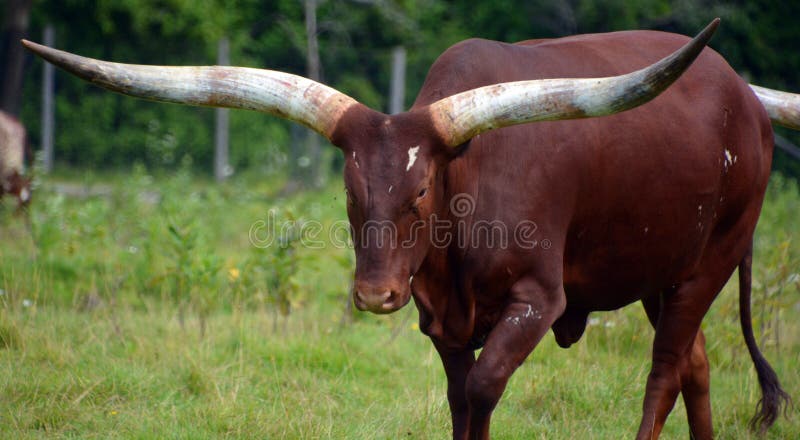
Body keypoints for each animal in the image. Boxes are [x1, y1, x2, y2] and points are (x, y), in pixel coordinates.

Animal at [23, 18, 792, 440]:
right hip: (661, 269)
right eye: (349, 187)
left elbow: (483, 388)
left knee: (664, 369)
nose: (374, 295)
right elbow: (459, 396)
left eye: (421, 189)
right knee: (694, 362)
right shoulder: (439, 317)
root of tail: (745, 98)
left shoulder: (539, 299)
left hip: (714, 255)